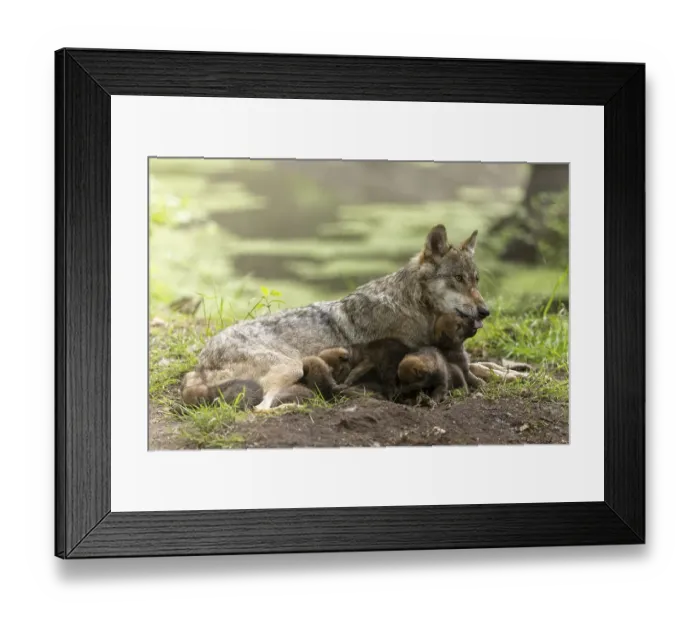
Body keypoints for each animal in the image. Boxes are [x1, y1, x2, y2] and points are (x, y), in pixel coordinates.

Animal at [180, 224, 490, 410]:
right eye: (458, 279)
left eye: (476, 279)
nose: (486, 311)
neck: (413, 304)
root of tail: (202, 361)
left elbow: (483, 366)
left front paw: (499, 371)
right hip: (291, 366)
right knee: (259, 409)